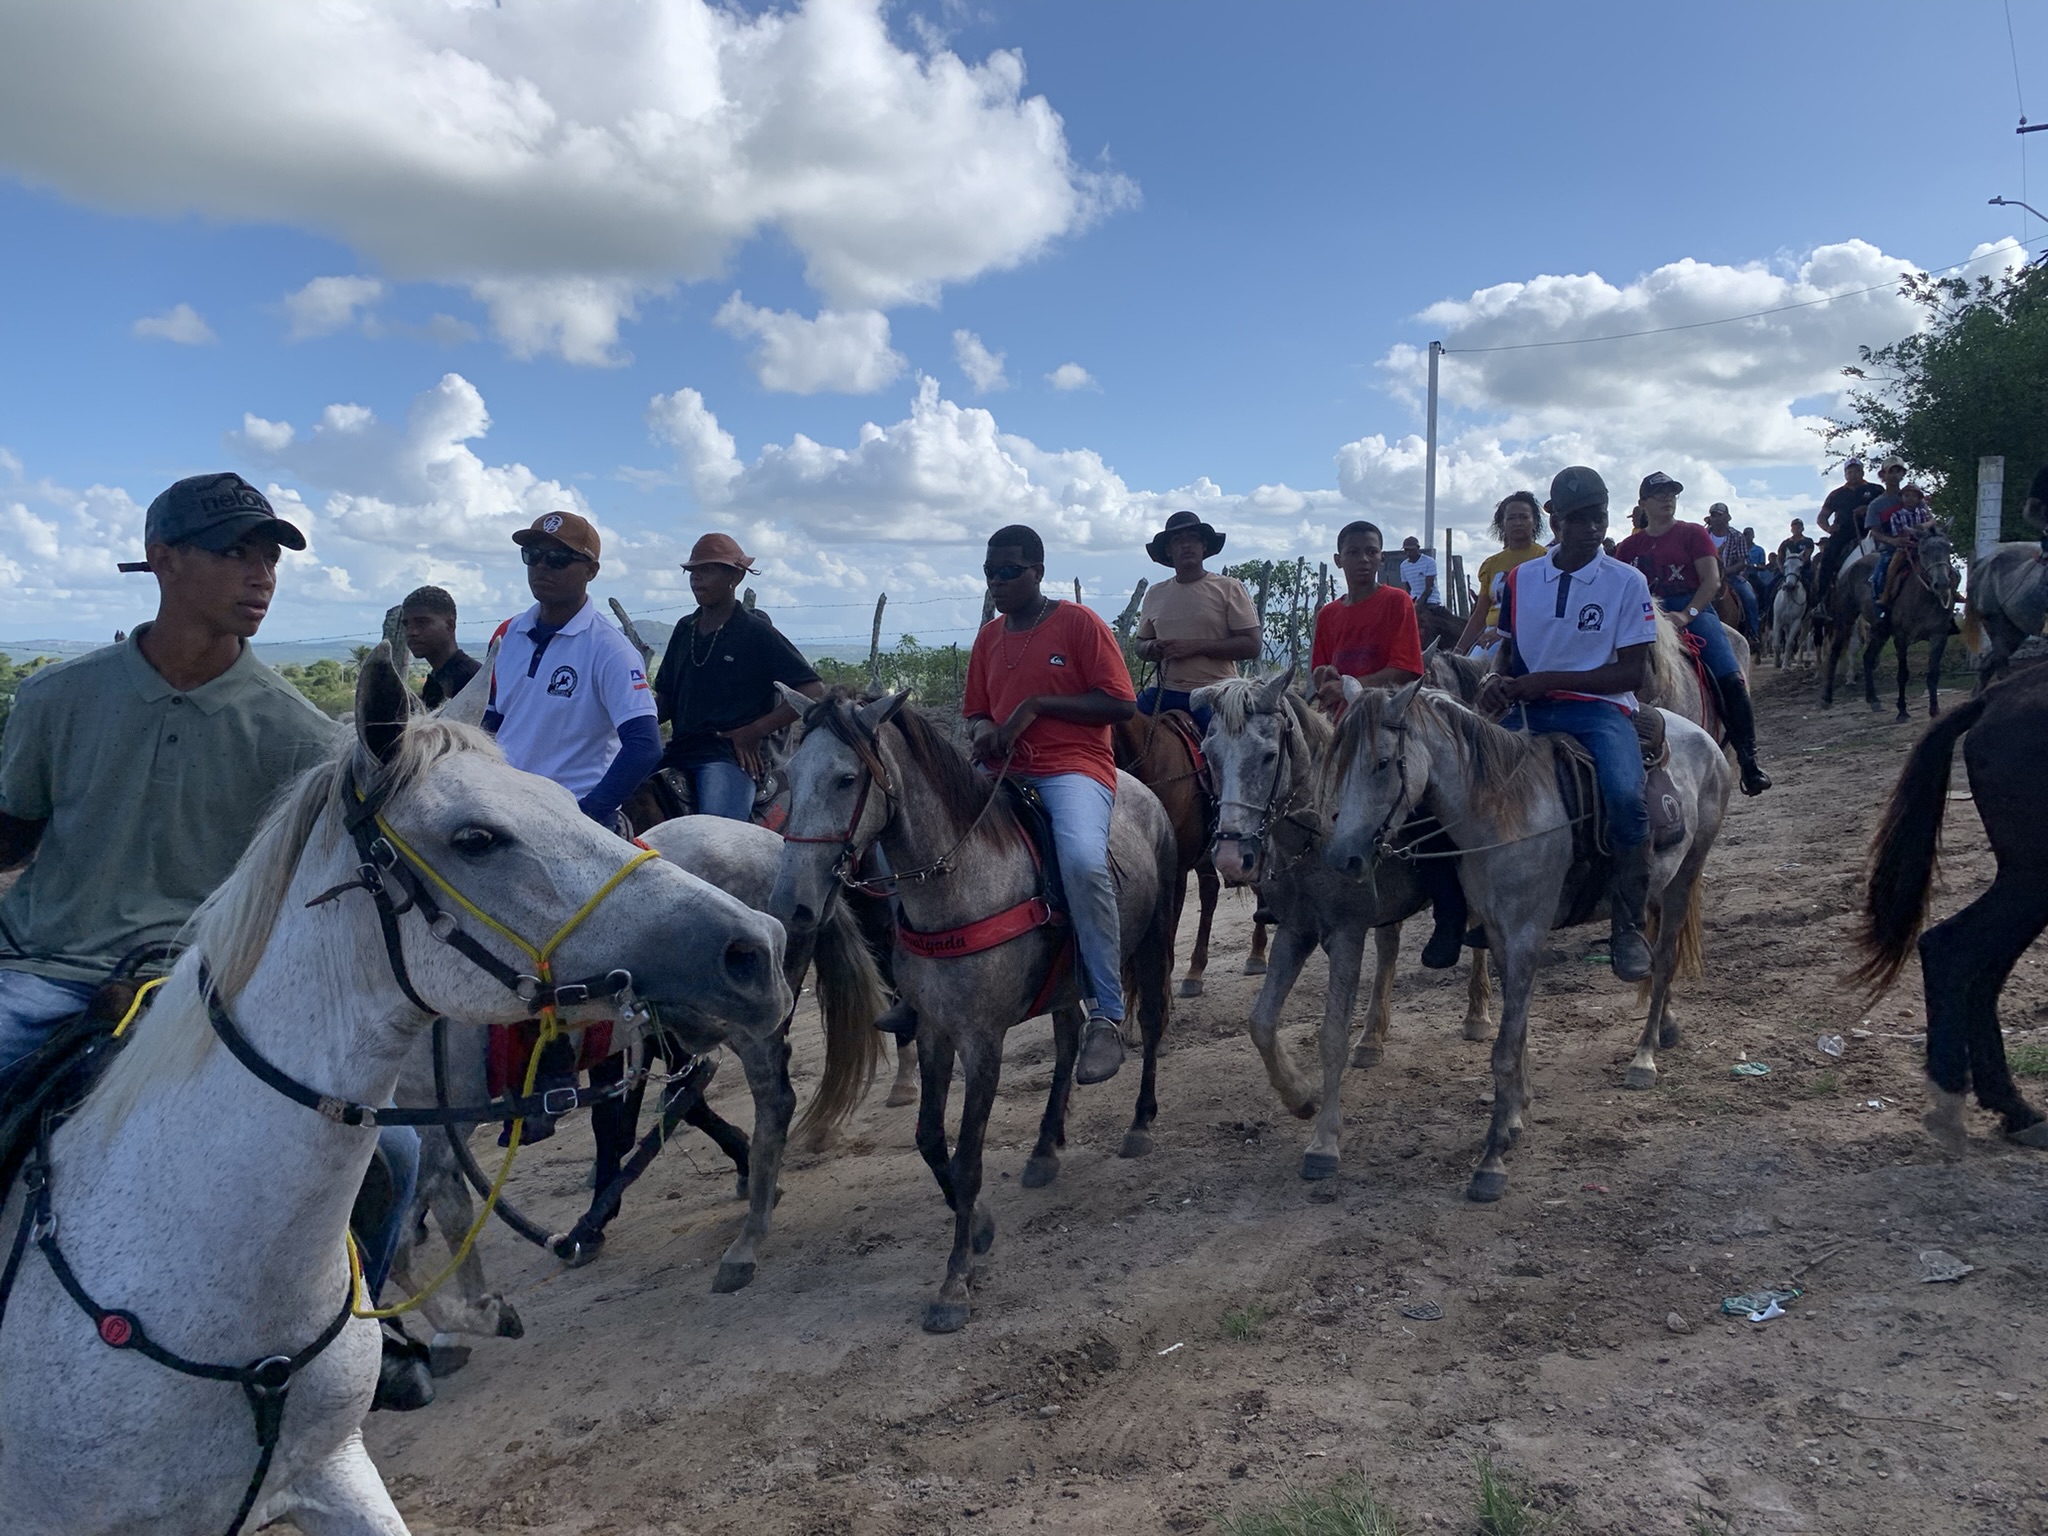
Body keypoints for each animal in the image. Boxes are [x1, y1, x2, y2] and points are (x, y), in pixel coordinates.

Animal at [770, 688, 1179, 1335]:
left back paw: (1140, 1122)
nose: (793, 902)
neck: (957, 887)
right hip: (1064, 985)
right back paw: (1045, 1147)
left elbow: (966, 1158)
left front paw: (954, 1282)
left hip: (1155, 935)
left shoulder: (982, 1040)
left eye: (845, 779)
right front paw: (980, 1226)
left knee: (1154, 1021)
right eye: (787, 778)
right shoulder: (936, 1032)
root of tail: (1141, 791)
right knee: (1068, 1044)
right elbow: (930, 1141)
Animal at [1196, 667, 1490, 1187]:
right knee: (1390, 946)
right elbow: (1261, 1022)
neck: (1317, 832)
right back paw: (1372, 1039)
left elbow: (1331, 1034)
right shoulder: (1296, 933)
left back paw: (1477, 1014)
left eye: (1268, 755)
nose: (1232, 858)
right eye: (1210, 755)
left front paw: (1324, 1144)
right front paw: (1300, 1096)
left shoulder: (1347, 935)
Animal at [1318, 684, 1736, 1204]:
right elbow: (1516, 1035)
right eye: (1341, 766)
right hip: (1661, 884)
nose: (1343, 857)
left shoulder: (1524, 937)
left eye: (1380, 763)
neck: (1502, 814)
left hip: (1686, 874)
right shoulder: (1500, 936)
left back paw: (1644, 1056)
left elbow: (1503, 1049)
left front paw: (1492, 1157)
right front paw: (1517, 1114)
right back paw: (1665, 1028)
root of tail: (1702, 736)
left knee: (1663, 963)